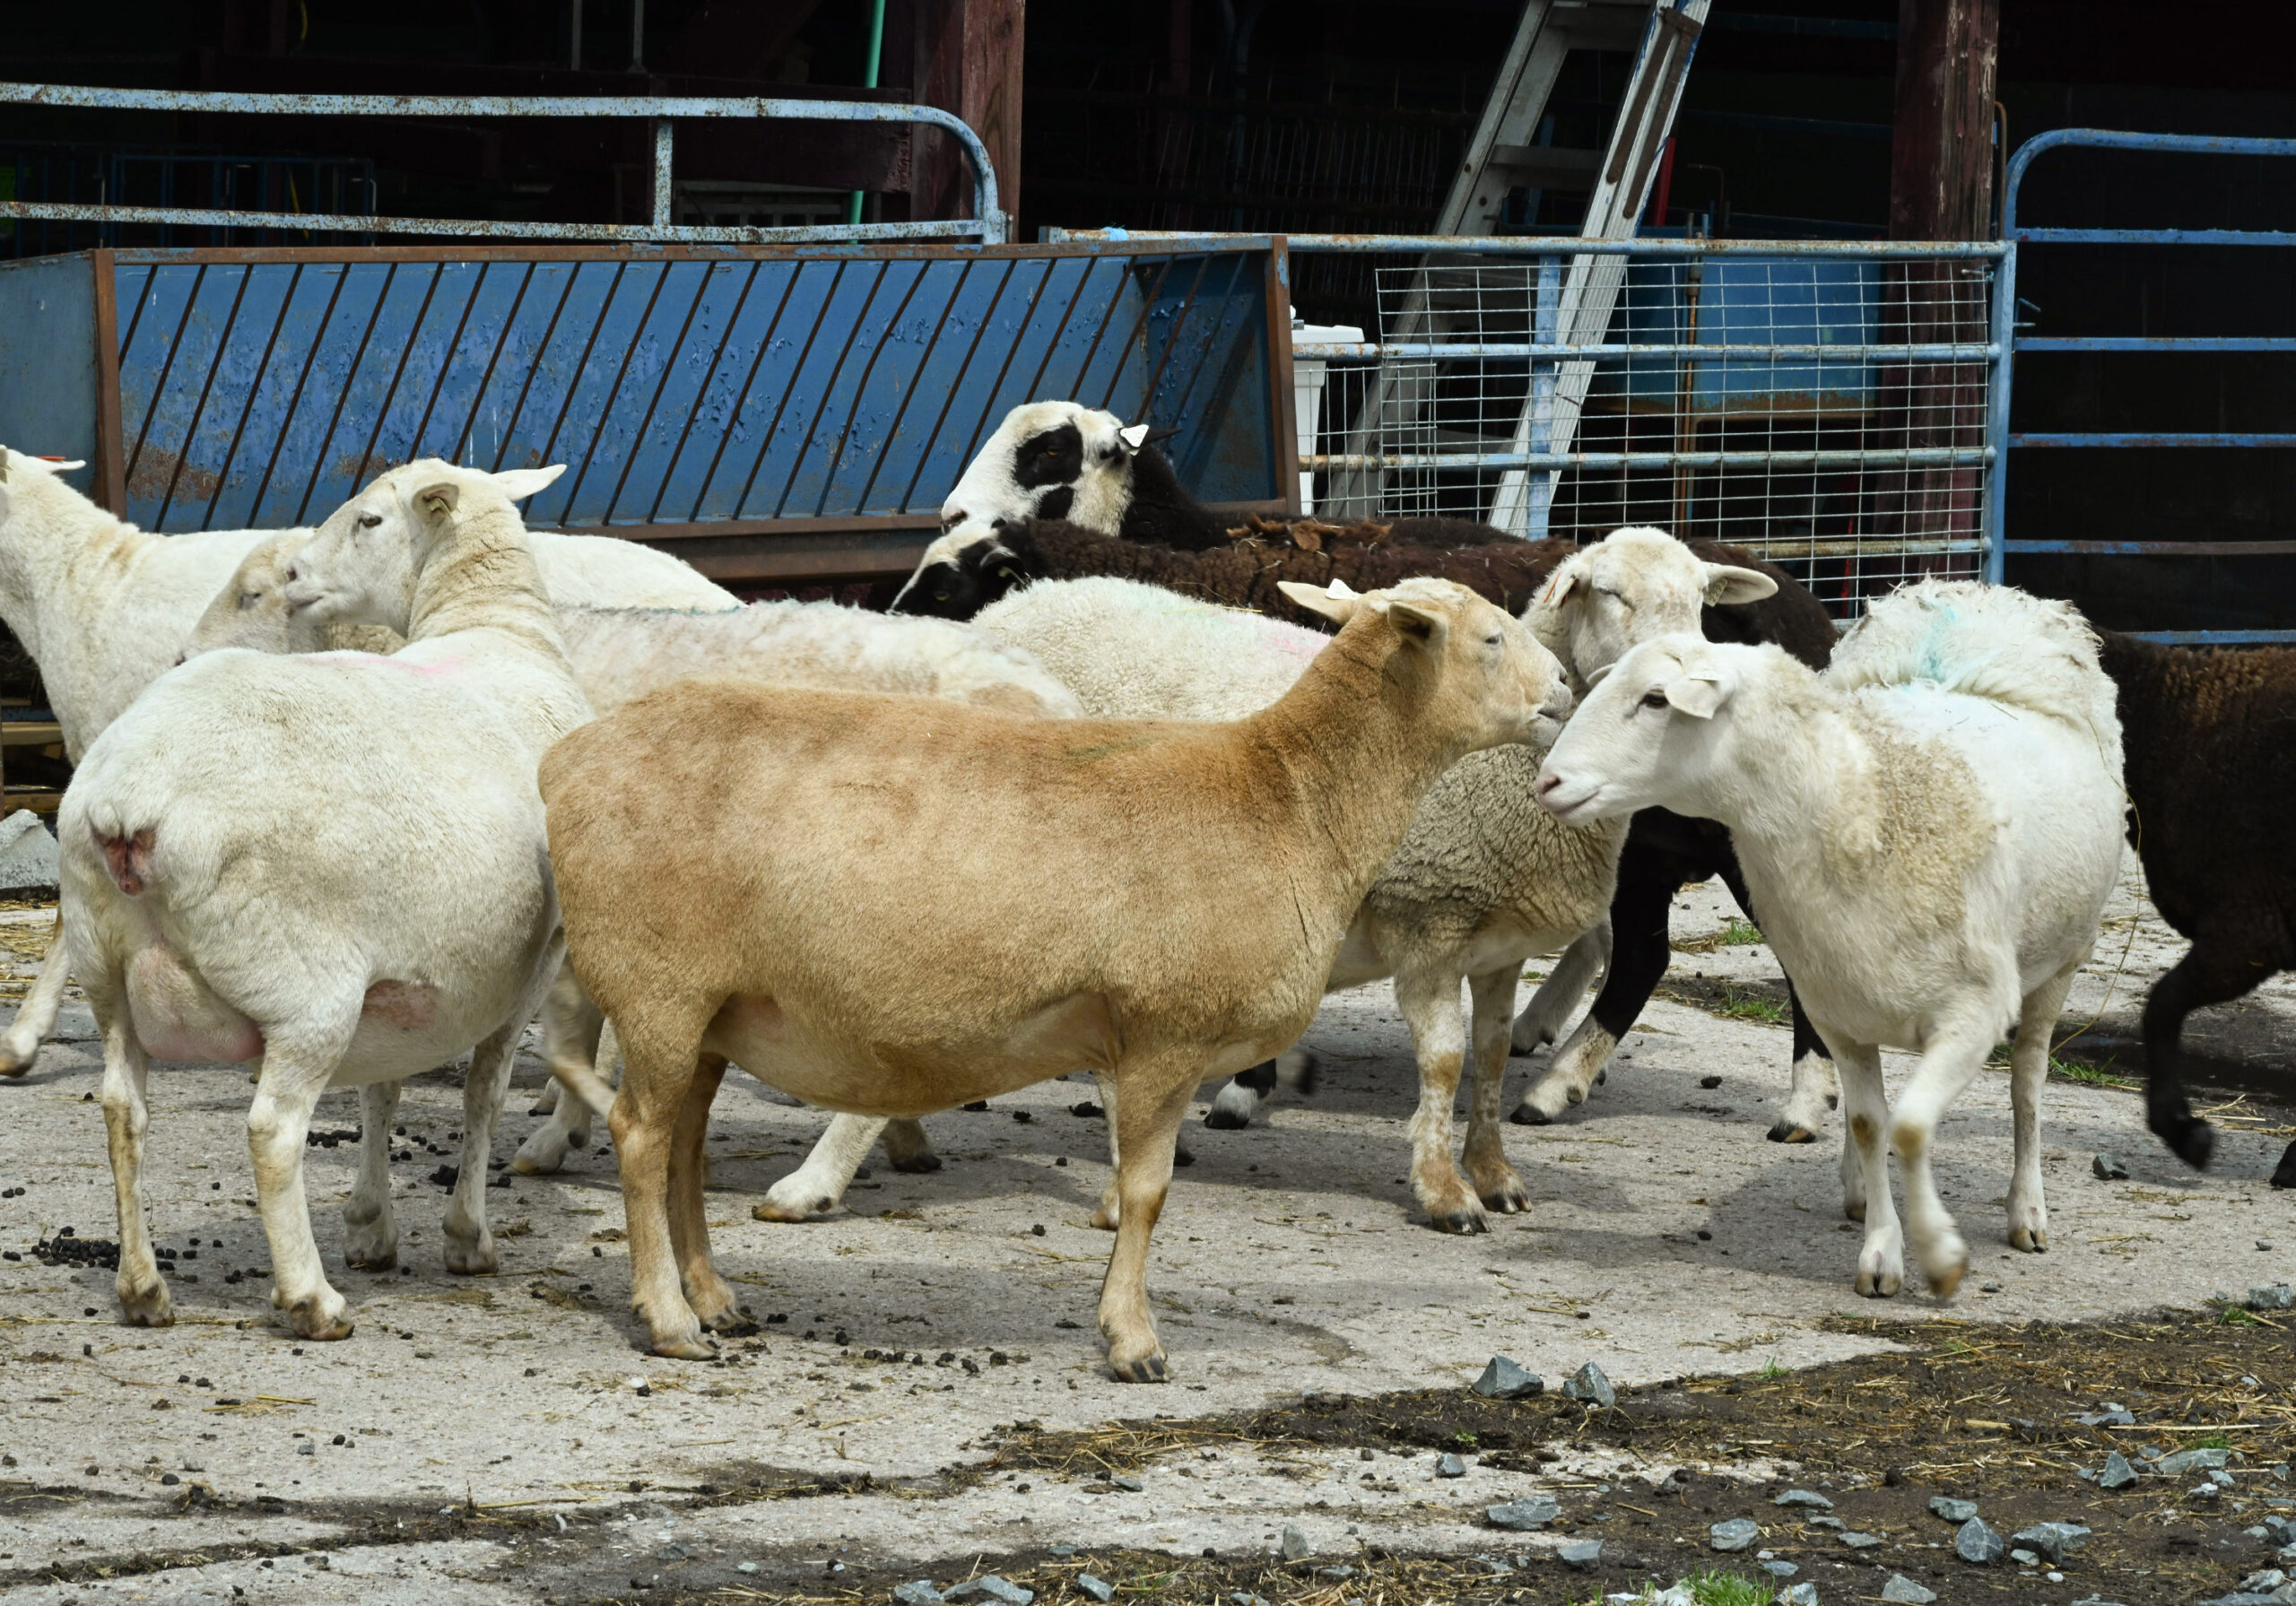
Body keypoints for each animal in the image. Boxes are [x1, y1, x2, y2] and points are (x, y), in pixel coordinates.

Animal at [0, 449, 736, 1079]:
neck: (78, 581)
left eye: (255, 594)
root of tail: (711, 587)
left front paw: (22, 1038)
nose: (179, 659)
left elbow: (64, 926)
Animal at [61, 460, 590, 1338]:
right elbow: (482, 1095)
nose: (295, 574)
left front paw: (374, 1226)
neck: (496, 627)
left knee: (120, 1109)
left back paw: (142, 1289)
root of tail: (130, 800)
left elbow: (384, 1087)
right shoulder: (530, 966)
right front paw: (467, 1236)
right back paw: (310, 1298)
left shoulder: (409, 974)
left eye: (369, 519)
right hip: (307, 988)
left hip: (107, 977)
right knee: (273, 1130)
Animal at [539, 576, 1565, 1372]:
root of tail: (569, 757)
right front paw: (1132, 1340)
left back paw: (715, 1299)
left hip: (718, 1004)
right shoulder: (1165, 1031)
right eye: (1490, 637)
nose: (1564, 686)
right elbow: (1147, 1193)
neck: (1291, 799)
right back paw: (670, 1319)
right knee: (640, 1136)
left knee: (683, 1143)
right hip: (658, 985)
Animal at [1535, 580, 2126, 1297]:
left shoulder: (1973, 1012)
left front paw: (1940, 1254)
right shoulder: (1836, 1012)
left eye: (1655, 699)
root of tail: (1981, 596)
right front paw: (1881, 1248)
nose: (1547, 782)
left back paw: (2027, 1211)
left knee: (2029, 1084)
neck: (1861, 805)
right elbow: (1873, 1124)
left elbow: (1911, 1127)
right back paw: (1856, 1190)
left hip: (2060, 963)